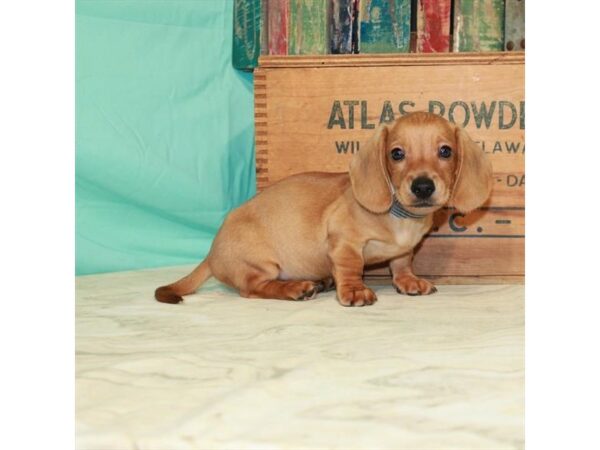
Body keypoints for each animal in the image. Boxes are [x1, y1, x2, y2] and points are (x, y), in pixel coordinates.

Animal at [155, 112, 492, 308]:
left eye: (445, 151)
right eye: (397, 154)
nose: (423, 187)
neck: (399, 217)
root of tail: (211, 253)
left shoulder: (404, 251)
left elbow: (401, 263)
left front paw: (409, 281)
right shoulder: (344, 243)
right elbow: (351, 268)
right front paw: (354, 290)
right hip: (261, 264)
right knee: (252, 288)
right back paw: (296, 288)